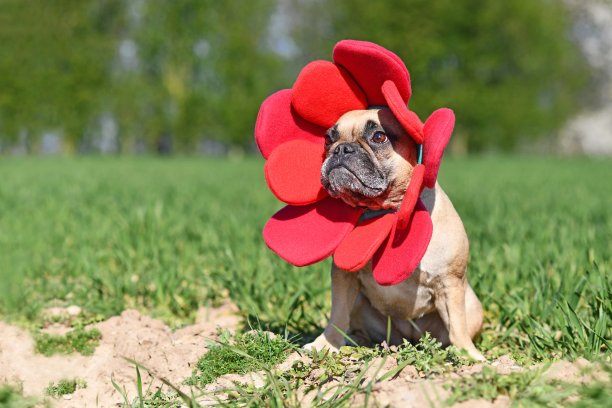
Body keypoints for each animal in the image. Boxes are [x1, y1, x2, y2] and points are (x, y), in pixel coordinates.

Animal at [304, 107, 486, 360]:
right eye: (328, 140)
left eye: (379, 137)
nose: (342, 148)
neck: (389, 211)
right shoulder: (344, 278)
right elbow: (338, 314)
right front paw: (326, 343)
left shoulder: (450, 282)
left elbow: (458, 324)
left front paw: (468, 355)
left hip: (473, 307)